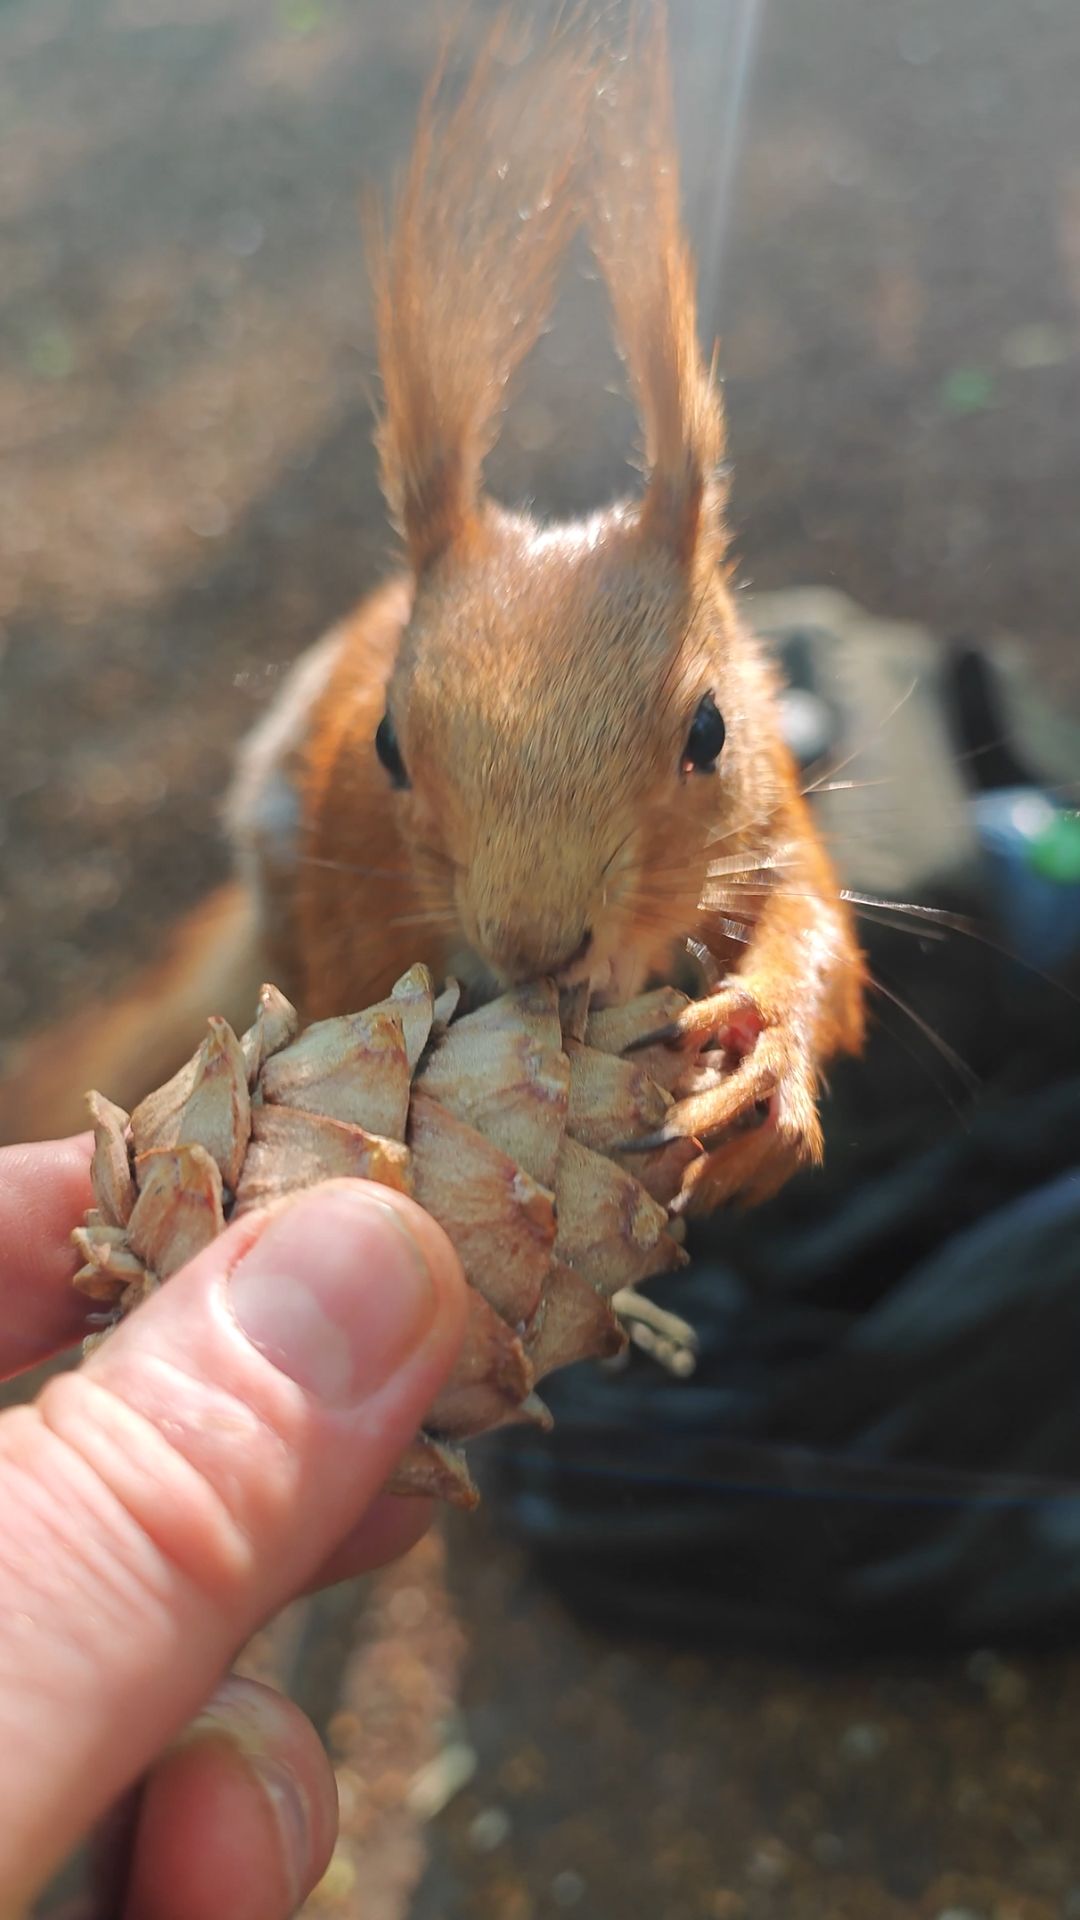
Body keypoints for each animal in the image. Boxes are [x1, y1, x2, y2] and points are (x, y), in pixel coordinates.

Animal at [0, 15, 864, 1212]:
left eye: (711, 730)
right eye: (387, 747)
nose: (535, 944)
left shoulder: (775, 810)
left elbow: (820, 928)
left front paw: (765, 1060)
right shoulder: (348, 891)